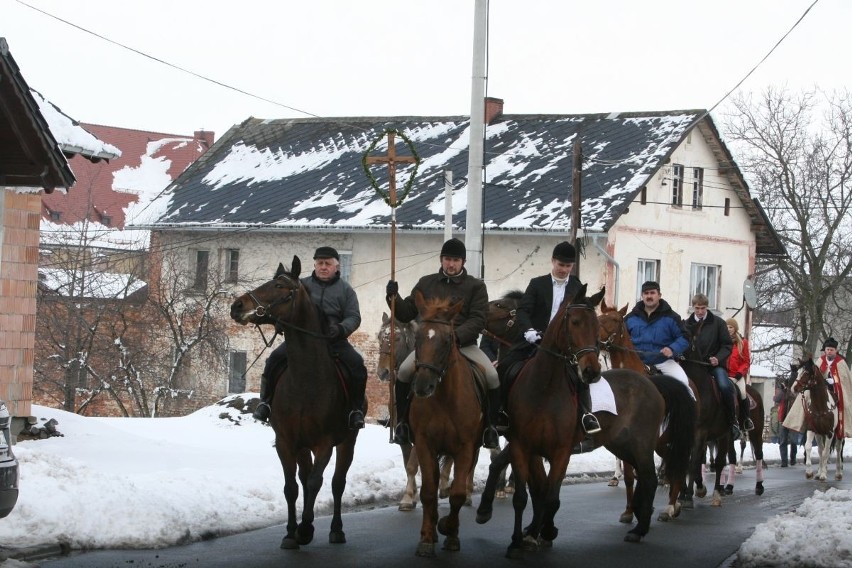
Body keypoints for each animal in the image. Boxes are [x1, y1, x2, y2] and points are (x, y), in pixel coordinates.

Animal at [228, 258, 358, 552]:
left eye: (279, 286)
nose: (237, 306)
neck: (305, 379)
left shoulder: (325, 443)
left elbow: (316, 482)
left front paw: (306, 529)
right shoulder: (286, 442)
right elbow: (292, 487)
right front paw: (291, 533)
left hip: (347, 441)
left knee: (337, 483)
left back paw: (336, 530)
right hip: (302, 446)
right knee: (305, 480)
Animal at [372, 312, 470, 512]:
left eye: (397, 338)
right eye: (379, 337)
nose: (383, 372)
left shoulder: (421, 434)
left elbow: (412, 465)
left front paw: (408, 497)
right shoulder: (403, 433)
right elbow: (407, 463)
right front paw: (413, 494)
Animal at [408, 290, 482, 556]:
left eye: (448, 339)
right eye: (417, 336)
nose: (422, 386)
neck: (444, 398)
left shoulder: (466, 448)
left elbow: (457, 493)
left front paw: (449, 531)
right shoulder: (423, 444)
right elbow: (428, 492)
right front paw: (427, 538)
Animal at [596, 300, 704, 520]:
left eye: (615, 319)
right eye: (599, 317)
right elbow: (630, 476)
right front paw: (629, 511)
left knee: (679, 466)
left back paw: (671, 506)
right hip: (662, 443)